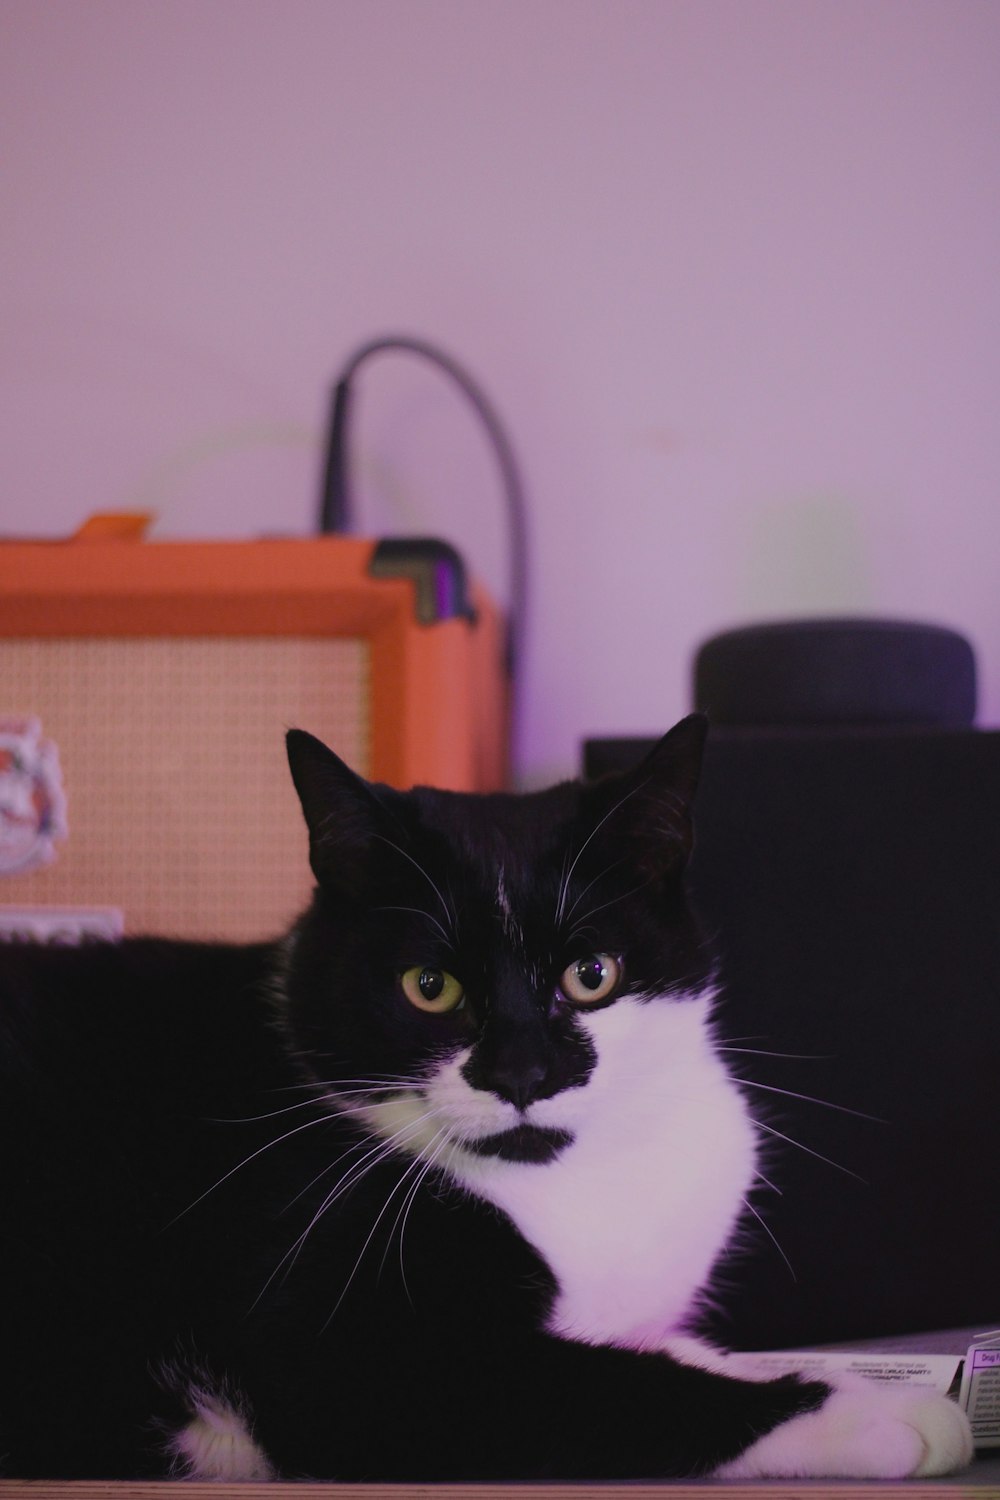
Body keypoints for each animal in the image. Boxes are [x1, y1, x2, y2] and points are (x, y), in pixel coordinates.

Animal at [0, 720, 971, 1482]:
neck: (572, 1183)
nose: (521, 1074)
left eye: (591, 974)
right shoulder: (342, 1343)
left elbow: (662, 1351)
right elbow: (618, 1385)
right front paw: (874, 1412)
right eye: (429, 986)